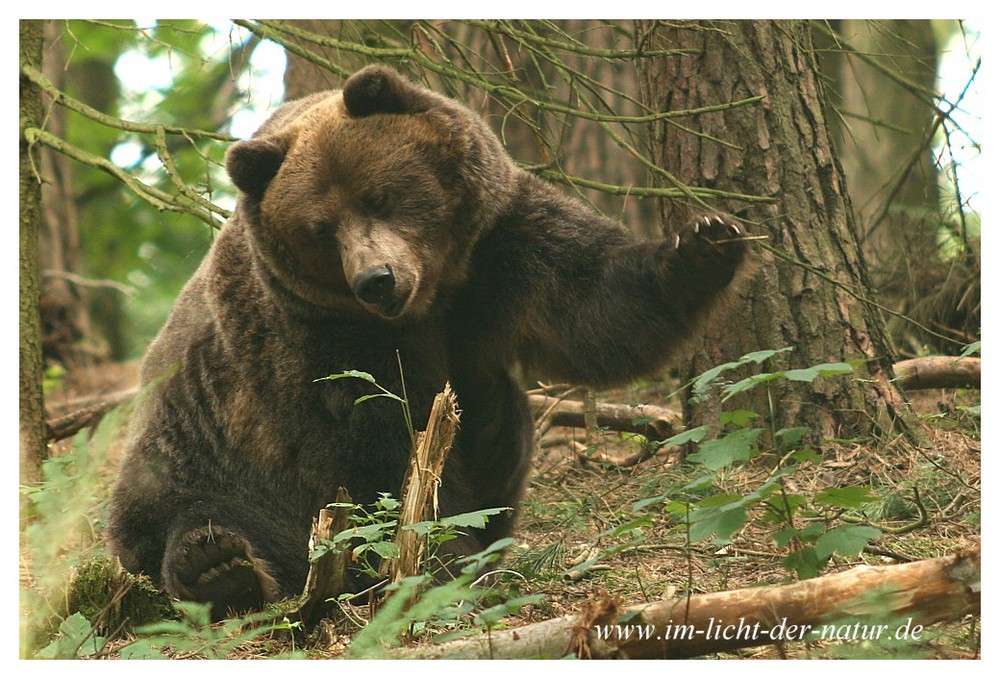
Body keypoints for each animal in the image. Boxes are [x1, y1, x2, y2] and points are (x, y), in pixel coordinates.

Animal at [109, 65, 752, 620]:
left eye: (377, 195)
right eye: (321, 228)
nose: (376, 279)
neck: (430, 299)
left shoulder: (498, 247)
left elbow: (593, 304)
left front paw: (704, 244)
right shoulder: (317, 337)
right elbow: (382, 448)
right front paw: (443, 565)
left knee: (502, 417)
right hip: (196, 464)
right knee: (193, 523)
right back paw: (220, 567)